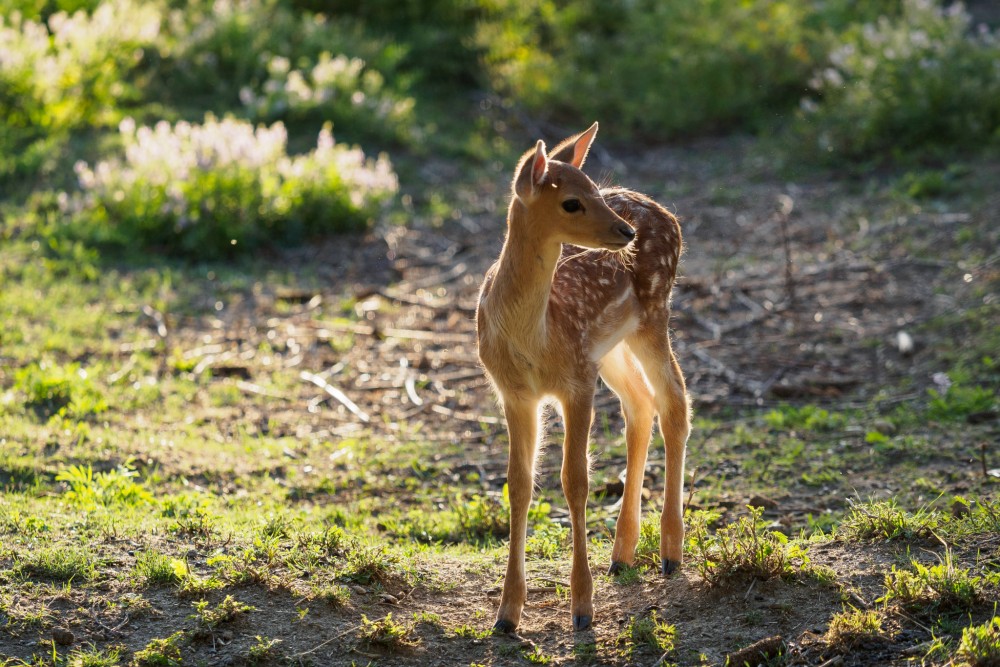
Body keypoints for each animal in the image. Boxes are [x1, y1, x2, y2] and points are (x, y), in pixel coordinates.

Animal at [476, 124, 688, 632]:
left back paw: (670, 552)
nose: (626, 231)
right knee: (641, 404)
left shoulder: (575, 381)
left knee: (675, 400)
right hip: (610, 348)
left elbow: (575, 481)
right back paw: (622, 555)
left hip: (653, 314)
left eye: (593, 187)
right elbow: (518, 484)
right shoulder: (515, 392)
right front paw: (507, 615)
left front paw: (582, 609)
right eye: (571, 201)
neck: (535, 336)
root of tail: (668, 215)